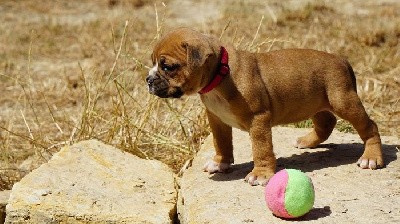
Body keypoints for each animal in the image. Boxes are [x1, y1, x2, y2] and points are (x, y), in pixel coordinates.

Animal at [145, 27, 382, 186]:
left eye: (167, 67)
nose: (148, 79)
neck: (220, 75)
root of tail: (341, 59)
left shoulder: (258, 119)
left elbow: (261, 148)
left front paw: (260, 174)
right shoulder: (217, 119)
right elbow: (221, 143)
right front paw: (220, 163)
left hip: (343, 101)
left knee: (369, 126)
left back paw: (371, 156)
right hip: (315, 102)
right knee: (326, 122)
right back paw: (308, 141)